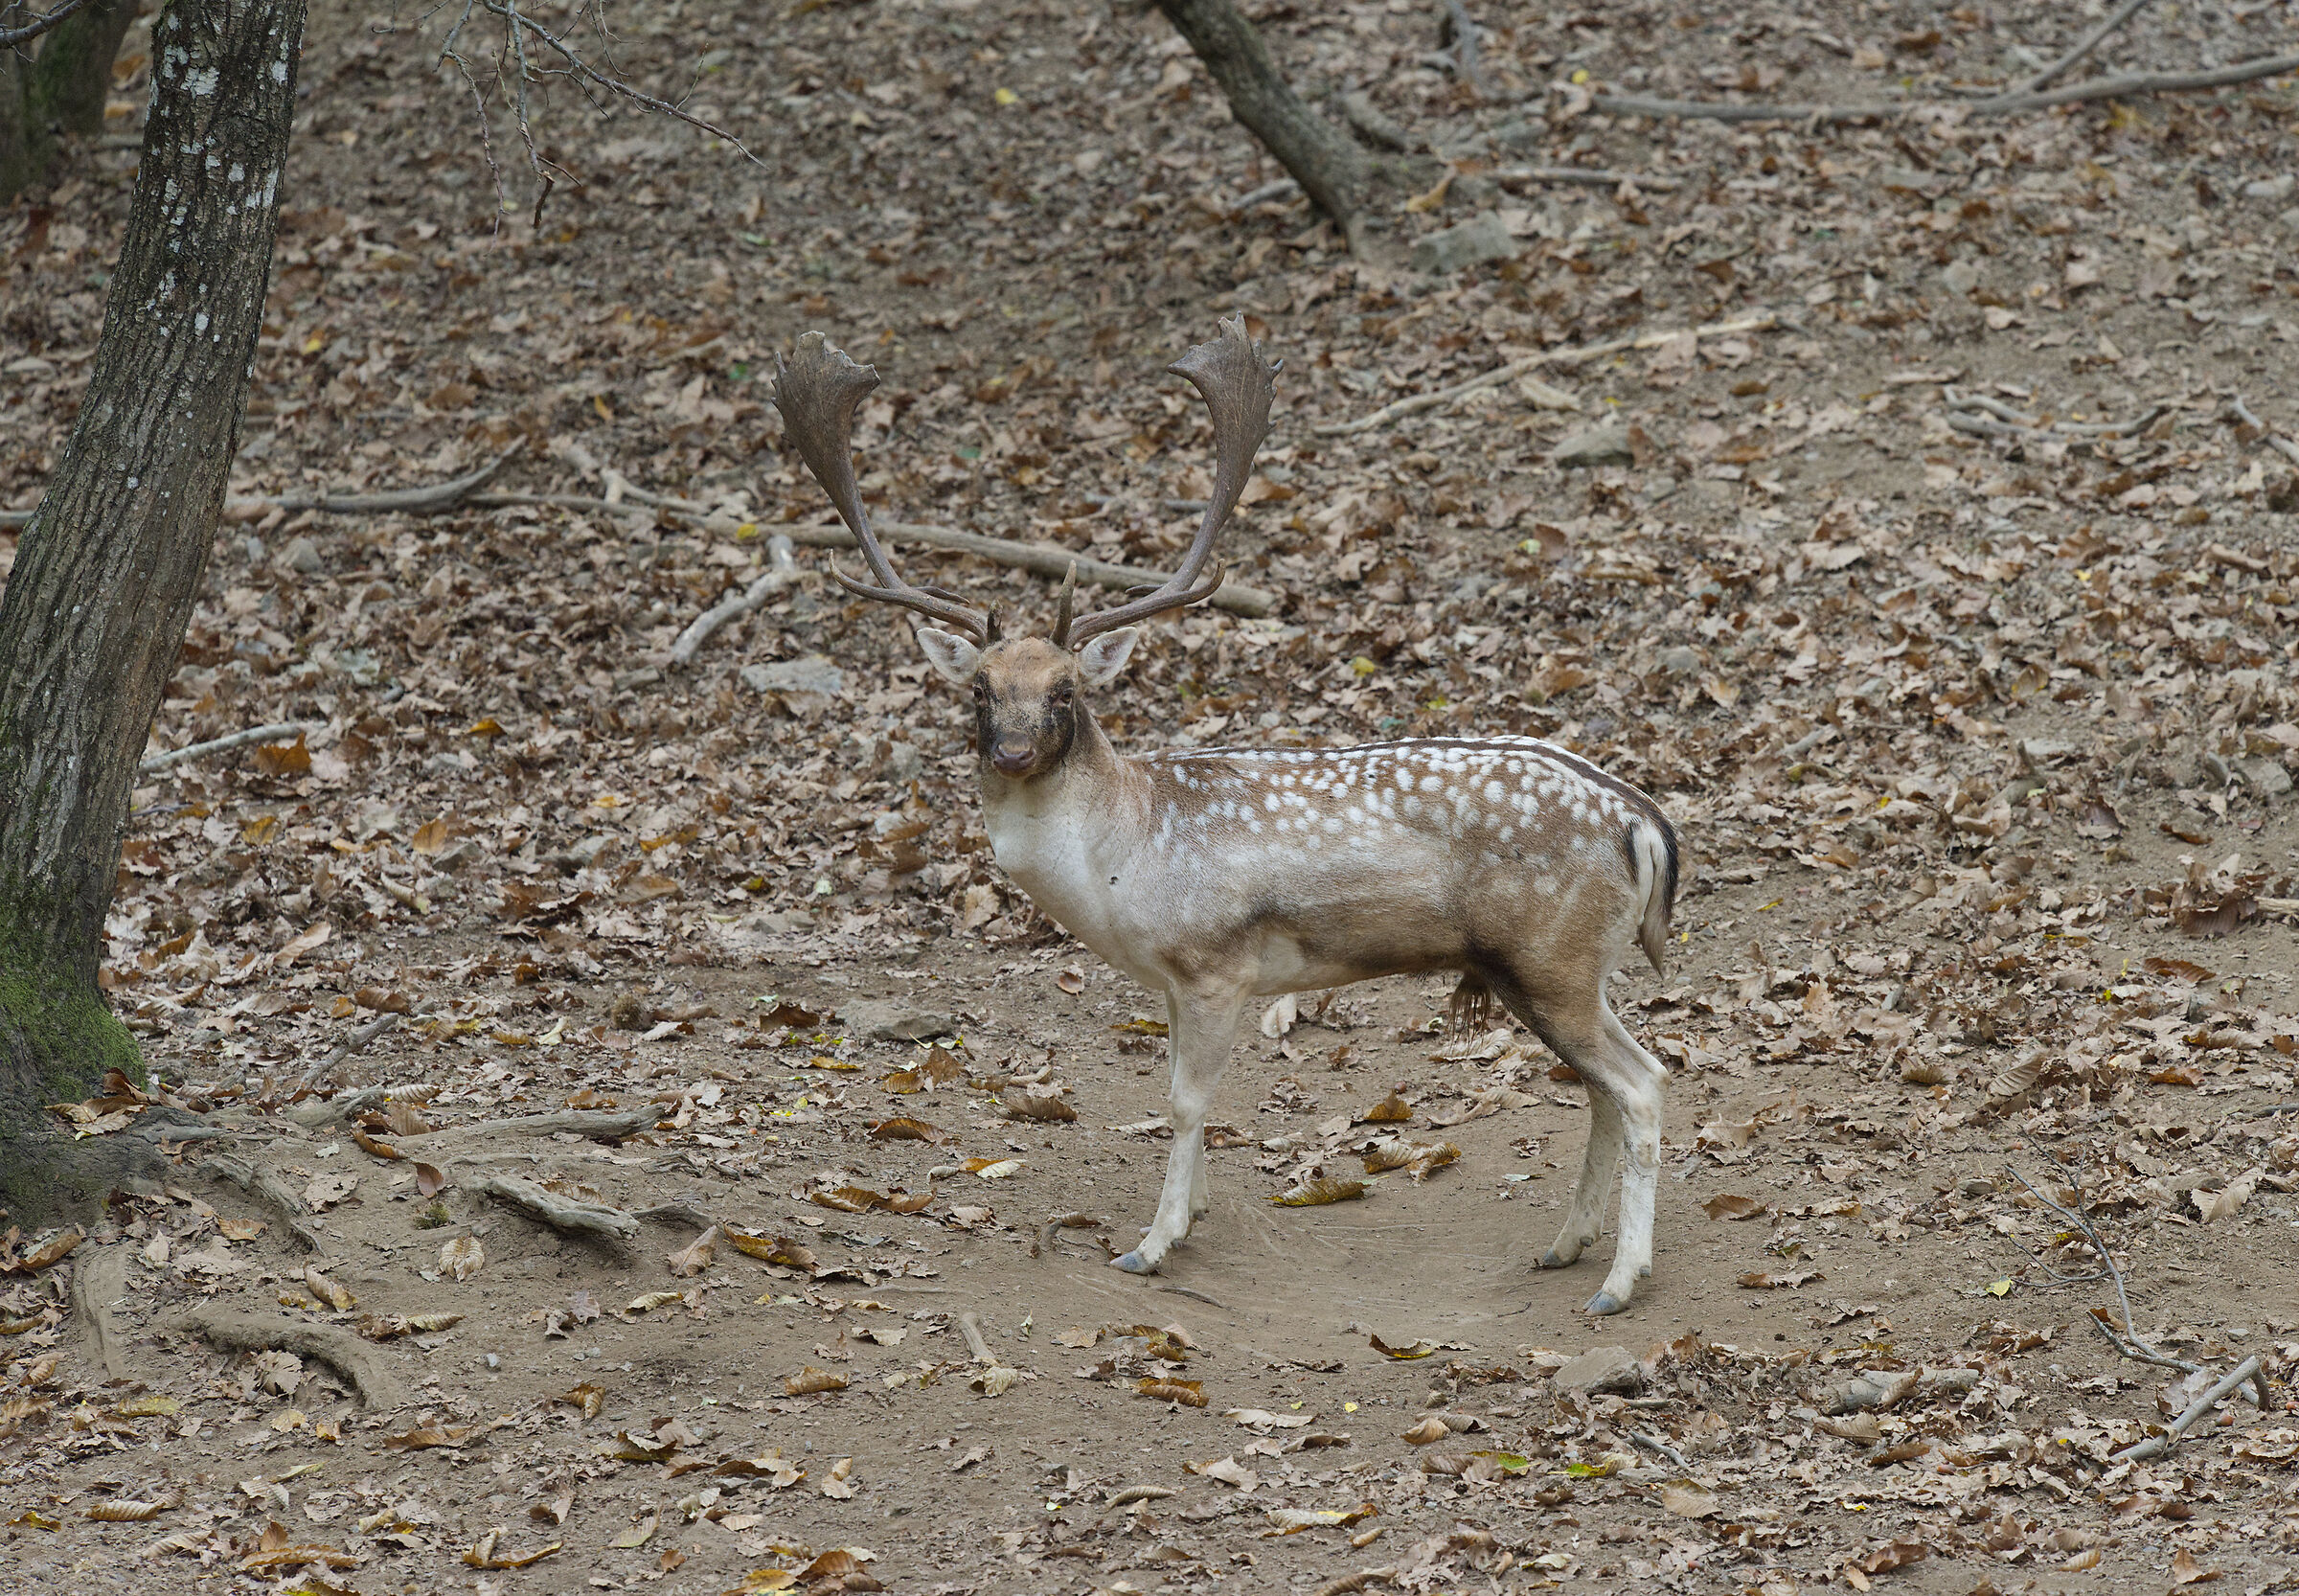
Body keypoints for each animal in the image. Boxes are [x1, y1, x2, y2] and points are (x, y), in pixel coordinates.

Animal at [770, 320, 1683, 1315]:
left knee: (1642, 1085)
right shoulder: (1172, 984)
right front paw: (1196, 1211)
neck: (1119, 865)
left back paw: (1620, 1281)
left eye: (1067, 690)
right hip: (1562, 971)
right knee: (1606, 1086)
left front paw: (1153, 1242)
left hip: (1551, 960)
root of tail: (1644, 822)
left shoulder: (1215, 964)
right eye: (978, 687)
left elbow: (1184, 1101)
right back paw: (1565, 1245)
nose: (1010, 750)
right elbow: (1176, 1093)